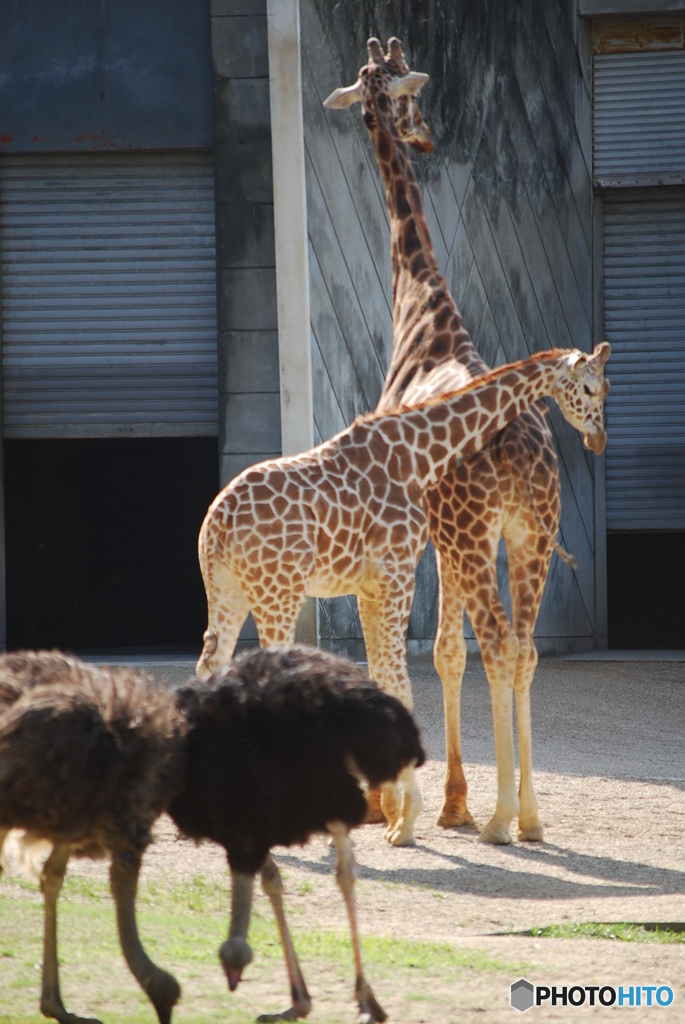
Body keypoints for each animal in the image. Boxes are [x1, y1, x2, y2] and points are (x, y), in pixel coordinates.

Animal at [197, 348, 610, 843]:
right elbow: (401, 687)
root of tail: (218, 520)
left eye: (605, 388)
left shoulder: (369, 585)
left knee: (210, 667)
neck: (417, 455)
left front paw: (392, 811)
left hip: (227, 589)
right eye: (589, 388)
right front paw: (407, 819)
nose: (598, 437)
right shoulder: (398, 572)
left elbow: (383, 682)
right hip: (278, 590)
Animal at [325, 36, 610, 843]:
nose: (424, 136)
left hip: (483, 536)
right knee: (525, 648)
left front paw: (421, 807)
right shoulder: (447, 539)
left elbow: (435, 654)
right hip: (530, 533)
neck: (422, 308)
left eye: (408, 90)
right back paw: (527, 817)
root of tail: (520, 452)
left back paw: (502, 818)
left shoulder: (430, 537)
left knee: (501, 645)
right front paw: (451, 803)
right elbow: (450, 654)